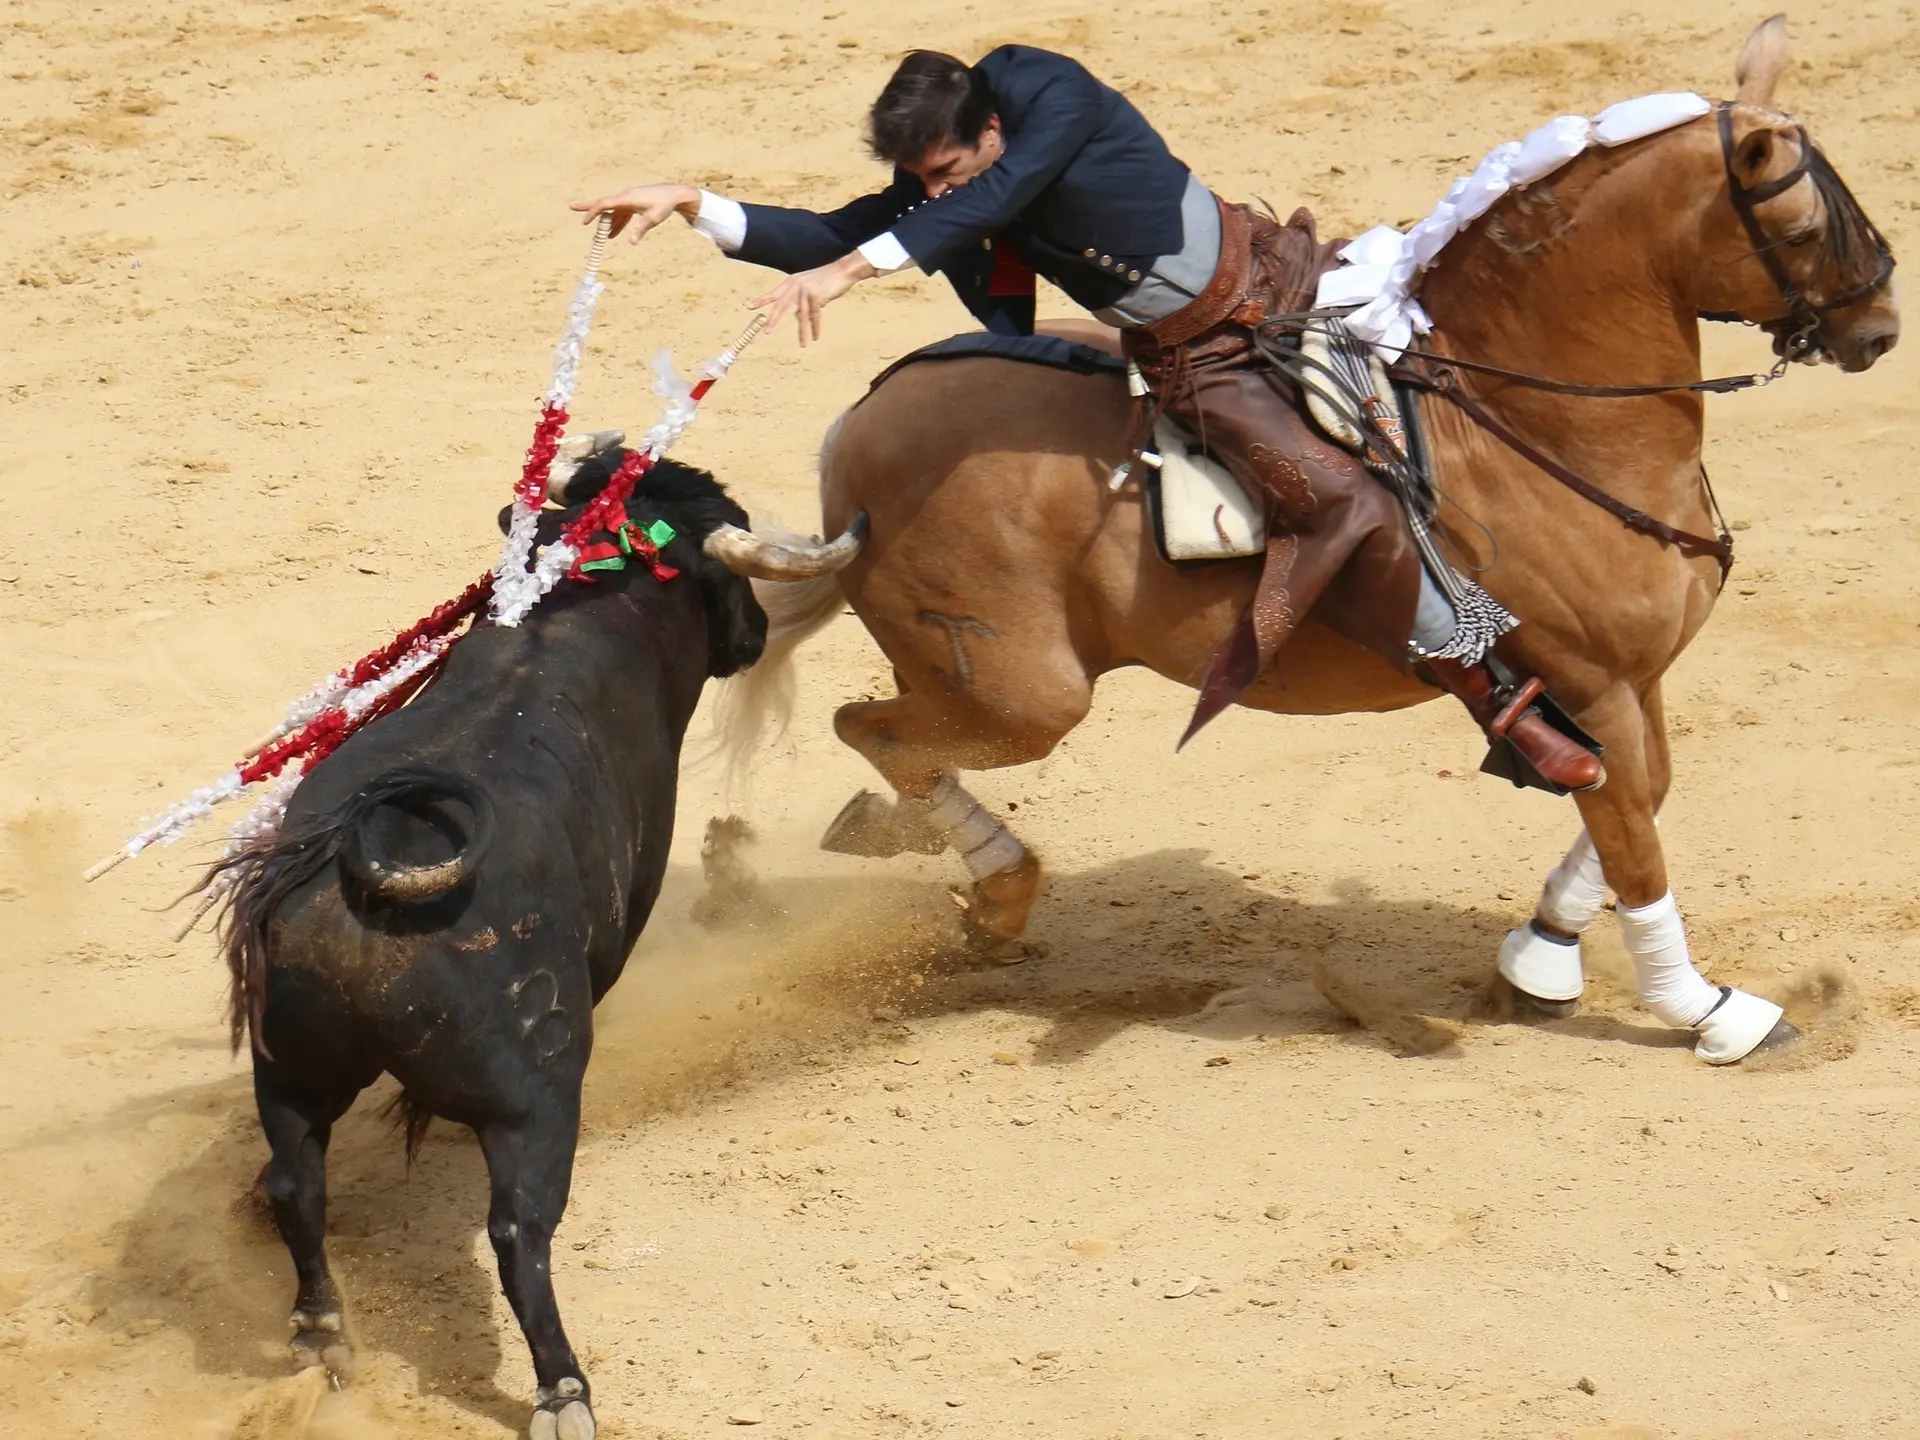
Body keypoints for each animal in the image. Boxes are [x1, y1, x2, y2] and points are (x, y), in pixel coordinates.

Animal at [216, 456, 764, 1436]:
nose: (761, 632)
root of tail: (375, 865)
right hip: (531, 1097)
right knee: (518, 1230)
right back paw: (563, 1389)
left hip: (289, 1063)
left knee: (295, 1185)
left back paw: (321, 1335)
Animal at [706, 19, 1889, 1059]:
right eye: (1801, 221)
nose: (1878, 328)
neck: (1533, 412)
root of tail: (856, 428)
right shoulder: (1593, 684)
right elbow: (1637, 843)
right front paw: (1712, 1014)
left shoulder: (1632, 685)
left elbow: (1635, 811)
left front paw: (1539, 960)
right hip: (1024, 693)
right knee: (874, 728)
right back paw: (977, 884)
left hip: (986, 684)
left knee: (889, 736)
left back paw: (925, 867)